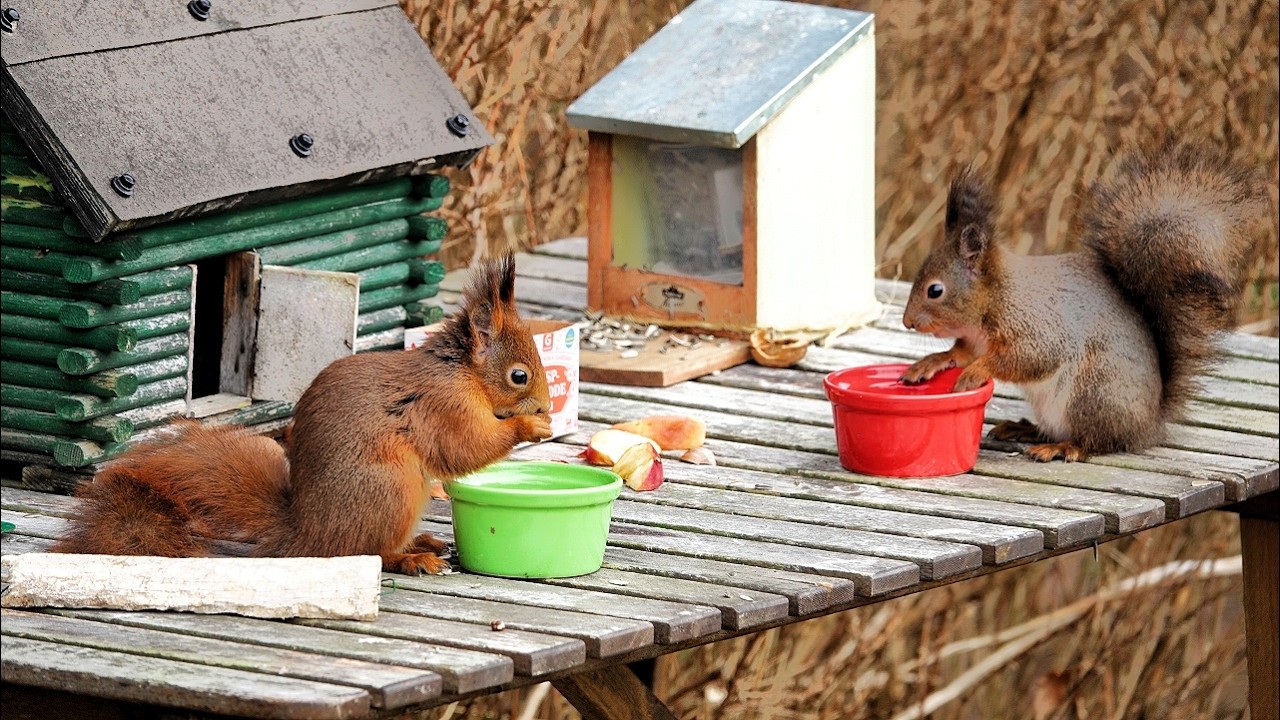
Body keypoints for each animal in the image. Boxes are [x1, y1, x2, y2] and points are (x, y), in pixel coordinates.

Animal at [52, 254, 553, 573]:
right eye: (519, 376)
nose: (548, 406)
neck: (461, 373)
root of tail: (305, 535)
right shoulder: (444, 405)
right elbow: (466, 447)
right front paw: (530, 425)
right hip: (392, 489)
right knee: (367, 552)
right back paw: (410, 557)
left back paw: (421, 541)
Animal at [900, 142, 1267, 462]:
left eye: (935, 290)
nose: (908, 322)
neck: (995, 298)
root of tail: (1148, 426)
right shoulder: (976, 340)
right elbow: (960, 353)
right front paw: (931, 362)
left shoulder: (1036, 326)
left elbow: (1027, 358)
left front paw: (975, 371)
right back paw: (1025, 429)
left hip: (1092, 393)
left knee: (1097, 441)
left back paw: (1061, 447)